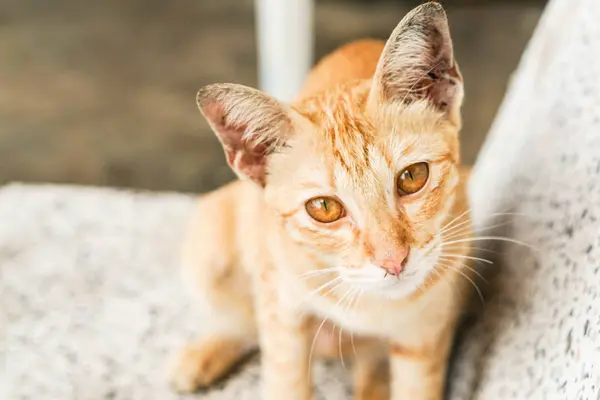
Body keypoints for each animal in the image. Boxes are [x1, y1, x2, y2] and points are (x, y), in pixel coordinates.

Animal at [169, 3, 474, 400]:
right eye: (325, 208)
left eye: (412, 177)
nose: (393, 262)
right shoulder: (281, 313)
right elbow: (283, 378)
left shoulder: (425, 329)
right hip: (207, 246)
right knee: (246, 324)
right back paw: (204, 353)